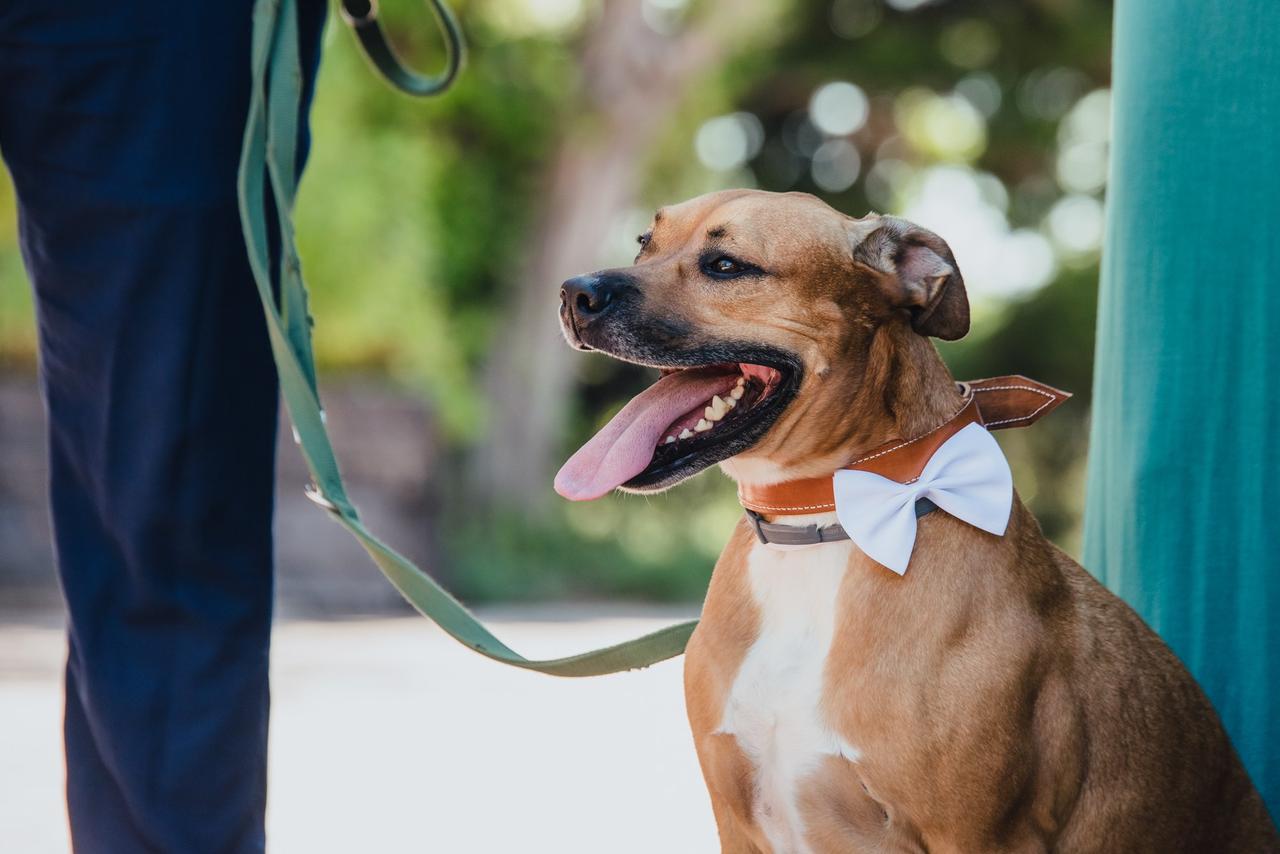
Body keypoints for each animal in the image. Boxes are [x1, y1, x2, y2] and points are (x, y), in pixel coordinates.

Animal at [552, 190, 1280, 850]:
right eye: (645, 243)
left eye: (726, 266)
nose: (575, 292)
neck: (823, 521)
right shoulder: (736, 821)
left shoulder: (981, 836)